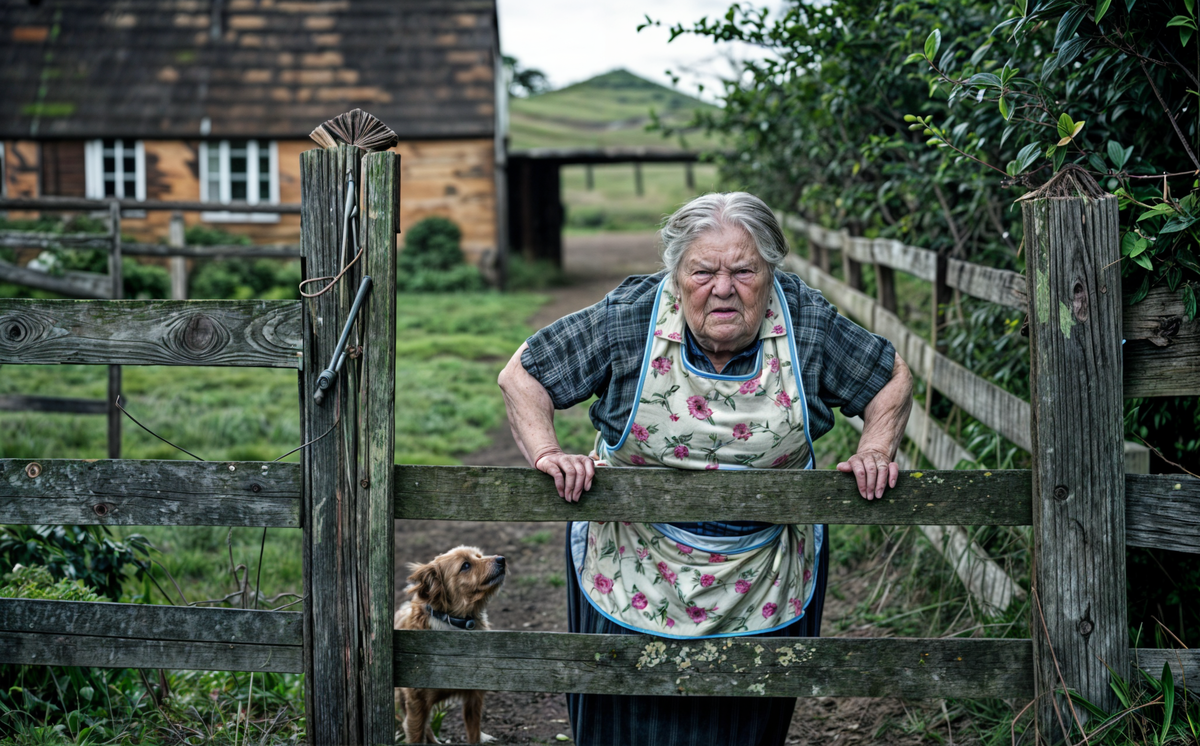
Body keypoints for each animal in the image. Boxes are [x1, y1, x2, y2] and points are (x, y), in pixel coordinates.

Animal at [393, 546, 506, 743]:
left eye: (479, 556)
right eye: (465, 565)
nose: (501, 559)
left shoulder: (474, 699)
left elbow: (474, 736)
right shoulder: (417, 704)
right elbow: (416, 734)